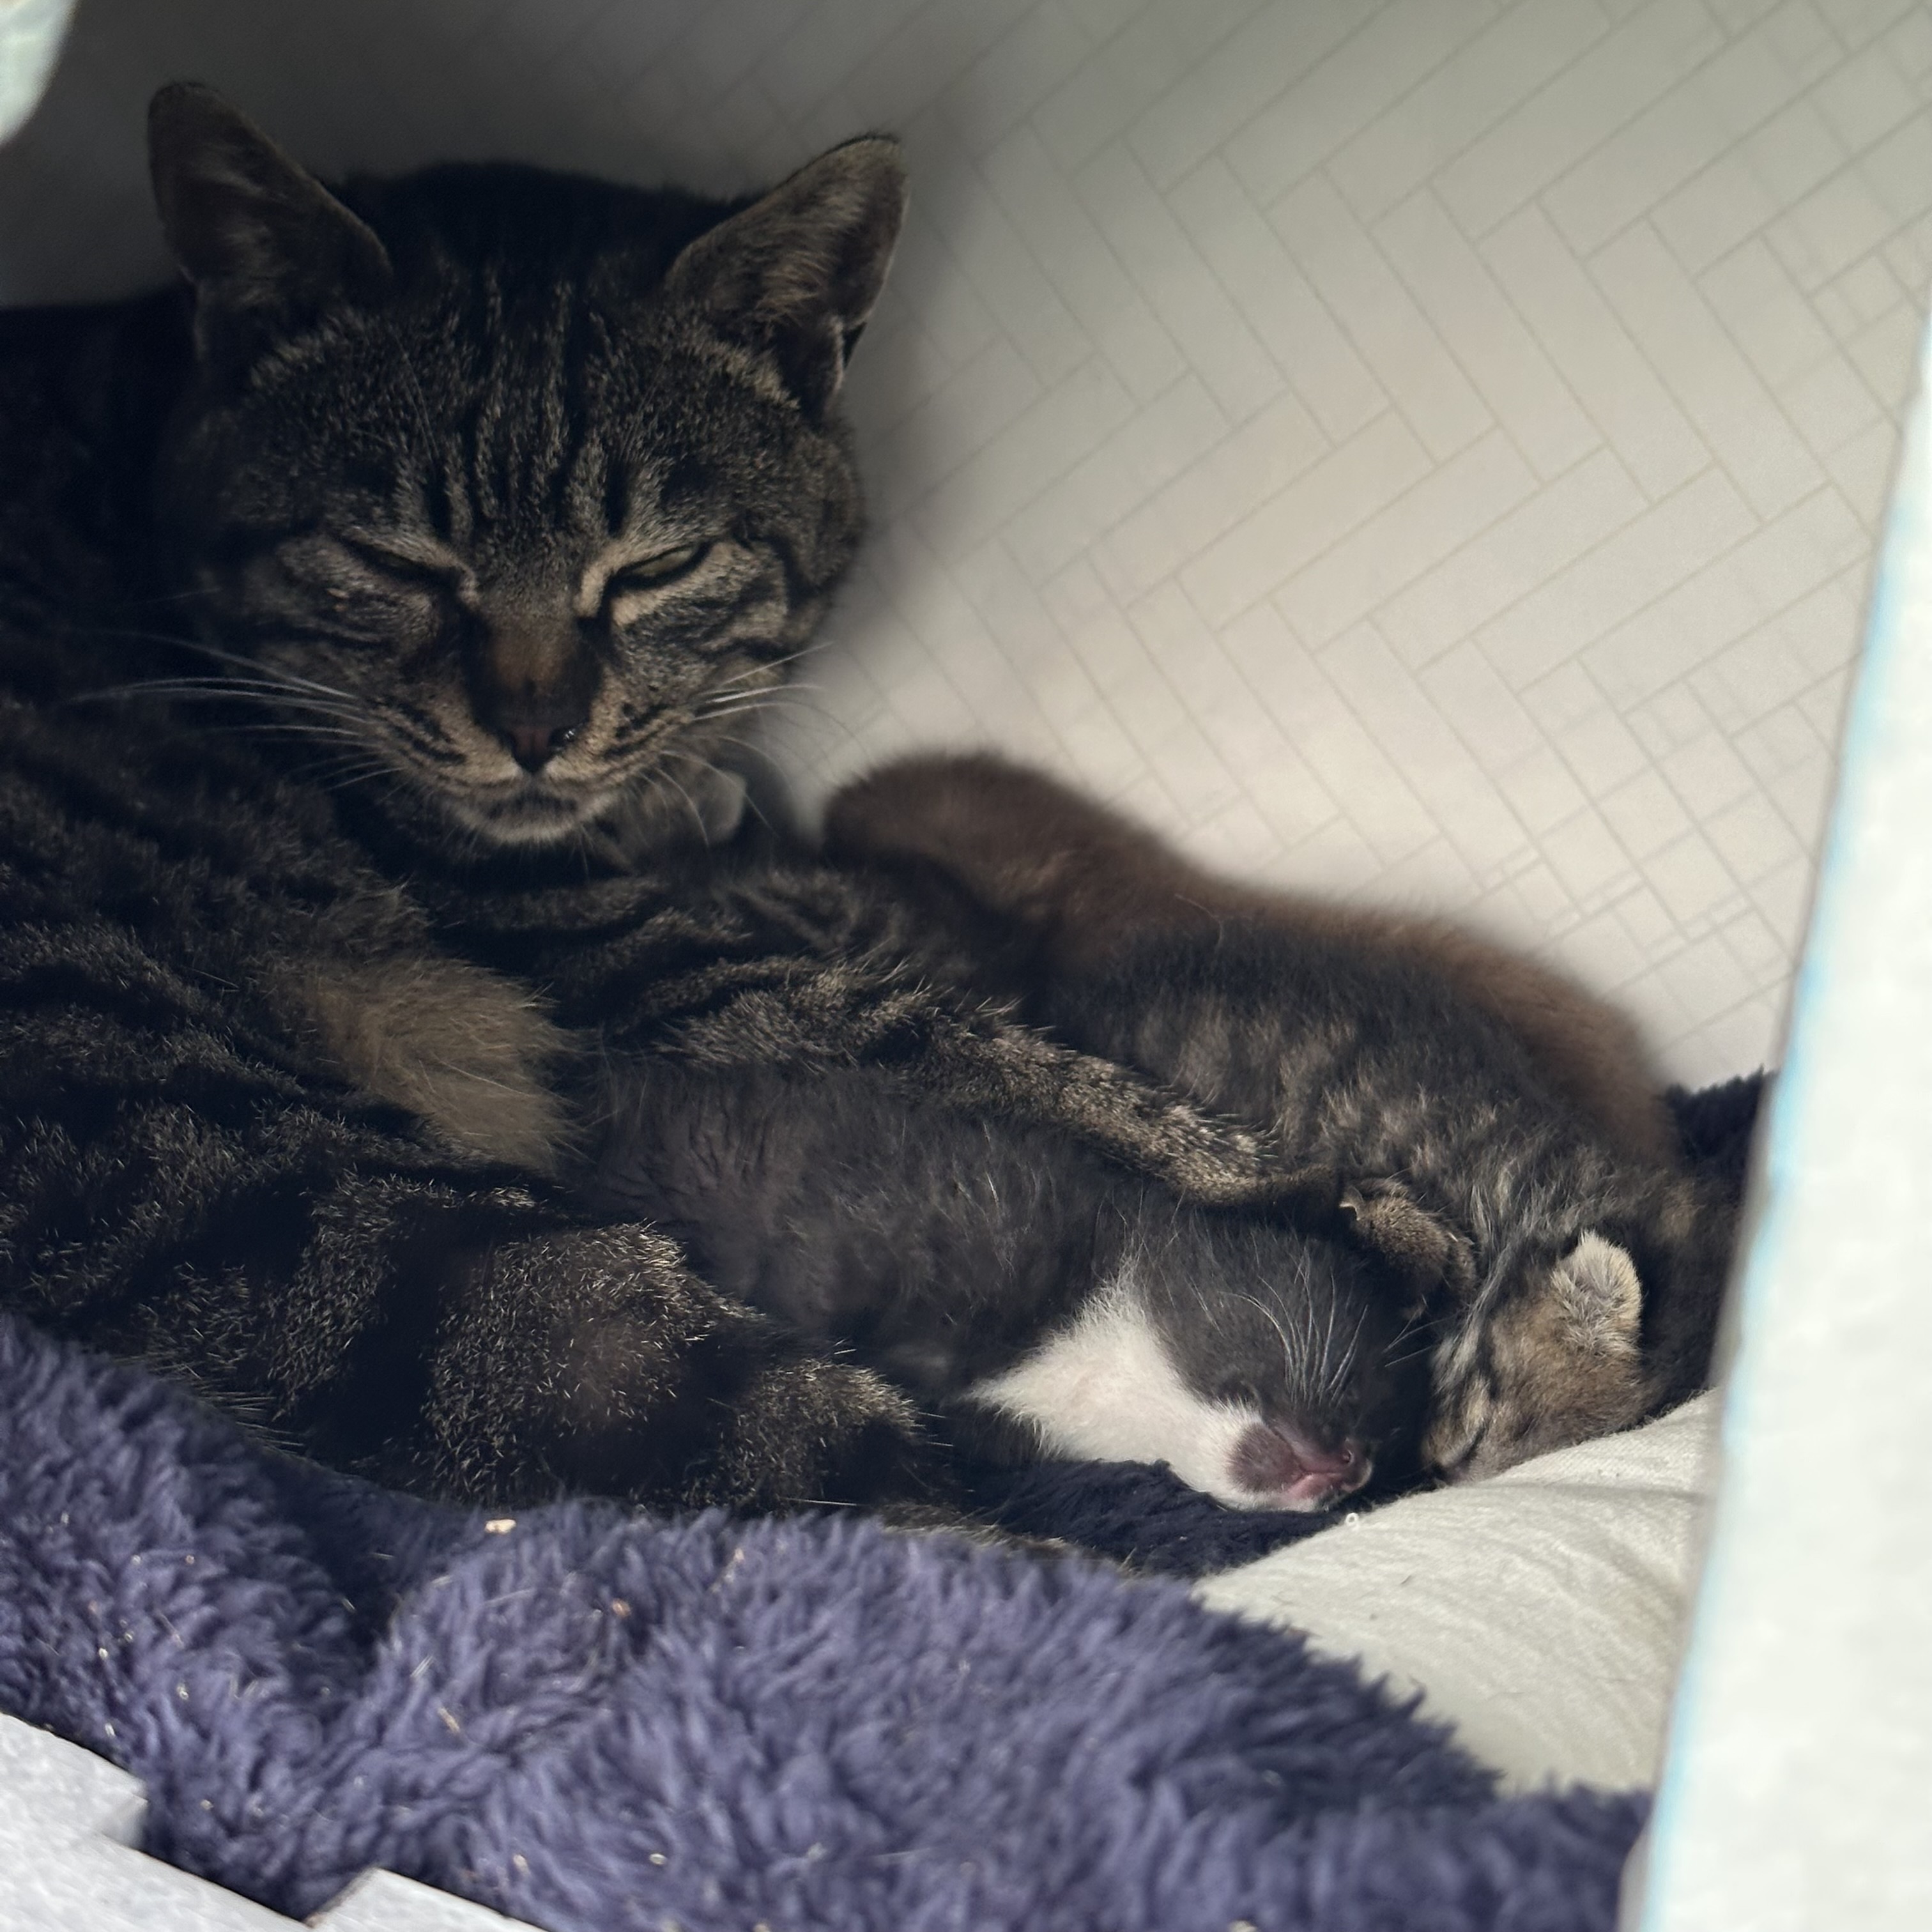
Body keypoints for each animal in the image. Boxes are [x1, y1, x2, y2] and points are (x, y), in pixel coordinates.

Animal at [0, 85, 1400, 1518]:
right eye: (396, 563)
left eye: (654, 569)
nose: (535, 731)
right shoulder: (617, 948)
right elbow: (977, 1048)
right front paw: (1340, 1197)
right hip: (310, 1211)